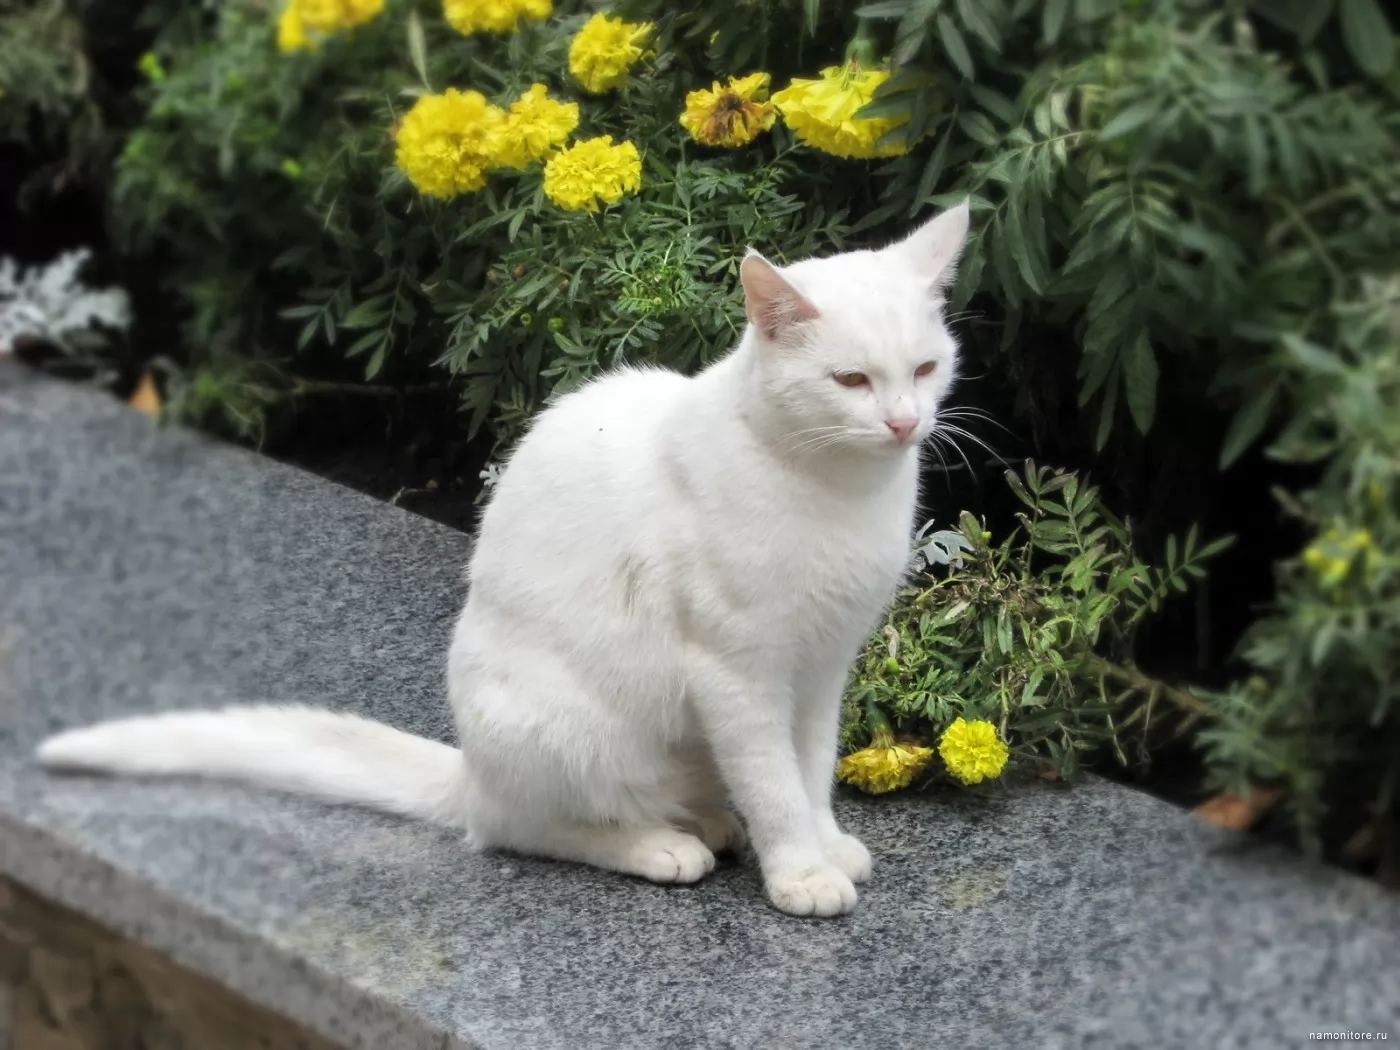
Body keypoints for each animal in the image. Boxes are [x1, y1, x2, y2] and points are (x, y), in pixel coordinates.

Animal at [35, 201, 974, 918]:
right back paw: (660, 845)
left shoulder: (820, 669)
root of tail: (473, 770)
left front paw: (823, 844)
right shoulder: (739, 676)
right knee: (523, 828)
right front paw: (799, 871)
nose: (903, 422)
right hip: (573, 731)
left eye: (925, 368)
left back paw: (708, 822)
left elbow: (807, 770)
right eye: (851, 382)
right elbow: (775, 782)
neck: (838, 493)